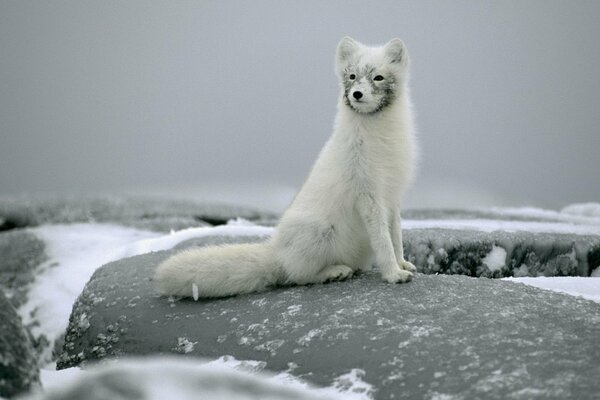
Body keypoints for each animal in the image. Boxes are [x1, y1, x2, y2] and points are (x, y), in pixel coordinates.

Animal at [155, 37, 418, 298]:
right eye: (352, 76)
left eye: (378, 77)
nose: (357, 94)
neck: (380, 137)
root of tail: (277, 252)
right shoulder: (368, 195)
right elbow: (383, 241)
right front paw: (393, 274)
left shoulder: (392, 196)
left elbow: (396, 236)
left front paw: (402, 264)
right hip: (319, 232)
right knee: (298, 276)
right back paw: (334, 272)